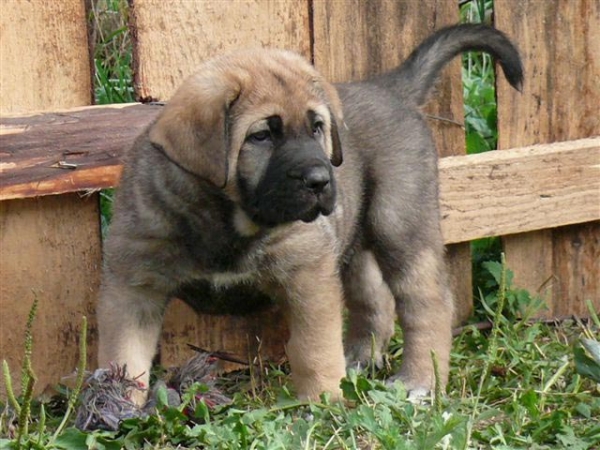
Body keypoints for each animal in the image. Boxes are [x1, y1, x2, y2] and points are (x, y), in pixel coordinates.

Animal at [97, 24, 520, 404]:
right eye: (261, 136)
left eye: (318, 128)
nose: (320, 180)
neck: (228, 220)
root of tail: (389, 89)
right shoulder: (134, 286)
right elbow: (124, 355)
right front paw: (119, 407)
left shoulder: (307, 275)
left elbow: (312, 348)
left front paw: (321, 402)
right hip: (353, 239)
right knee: (373, 297)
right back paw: (361, 357)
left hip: (400, 224)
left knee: (426, 303)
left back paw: (420, 381)